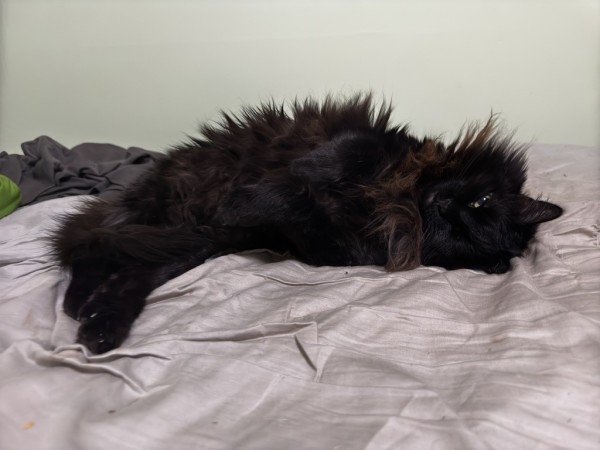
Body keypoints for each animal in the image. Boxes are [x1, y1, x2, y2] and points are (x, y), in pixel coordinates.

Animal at [51, 96, 564, 356]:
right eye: (481, 201)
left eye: (464, 235)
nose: (448, 209)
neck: (403, 198)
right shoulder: (371, 143)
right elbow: (338, 158)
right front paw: (297, 174)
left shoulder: (336, 246)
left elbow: (292, 205)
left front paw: (253, 198)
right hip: (170, 222)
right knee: (91, 244)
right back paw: (85, 310)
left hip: (186, 245)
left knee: (113, 263)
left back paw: (93, 321)